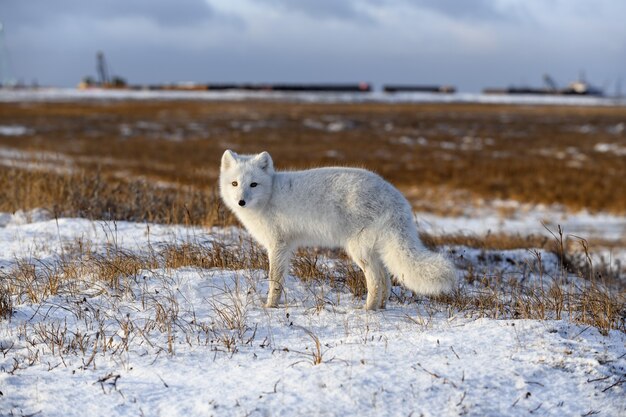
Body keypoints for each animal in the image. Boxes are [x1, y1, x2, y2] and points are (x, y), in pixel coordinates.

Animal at [219, 150, 454, 308]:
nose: (241, 202)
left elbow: (274, 280)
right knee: (386, 280)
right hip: (373, 250)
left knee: (376, 281)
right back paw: (381, 307)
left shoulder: (278, 245)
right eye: (234, 184)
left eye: (253, 184)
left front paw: (270, 307)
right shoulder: (285, 247)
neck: (270, 196)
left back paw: (368, 310)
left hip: (358, 250)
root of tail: (396, 198)